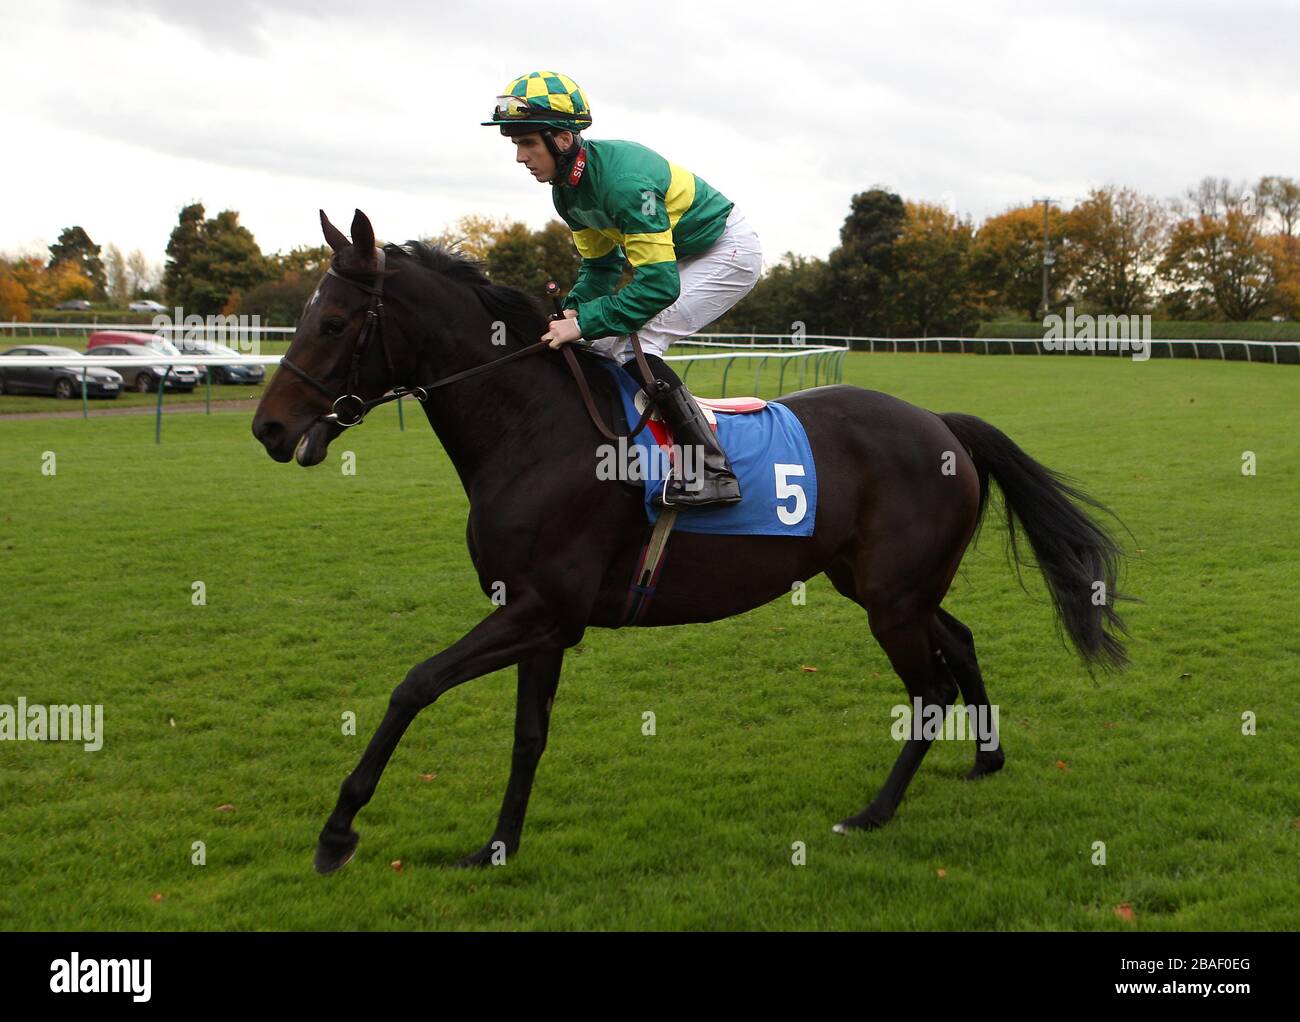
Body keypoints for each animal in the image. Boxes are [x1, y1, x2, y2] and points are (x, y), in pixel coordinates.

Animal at [250, 210, 1128, 873]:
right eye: (305, 317)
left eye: (334, 321)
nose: (269, 427)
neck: (533, 428)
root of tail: (941, 423)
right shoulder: (539, 617)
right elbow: (528, 735)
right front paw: (497, 845)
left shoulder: (541, 610)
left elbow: (414, 685)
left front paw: (338, 831)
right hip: (888, 586)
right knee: (962, 641)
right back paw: (985, 758)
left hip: (890, 599)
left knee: (929, 690)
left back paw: (872, 813)